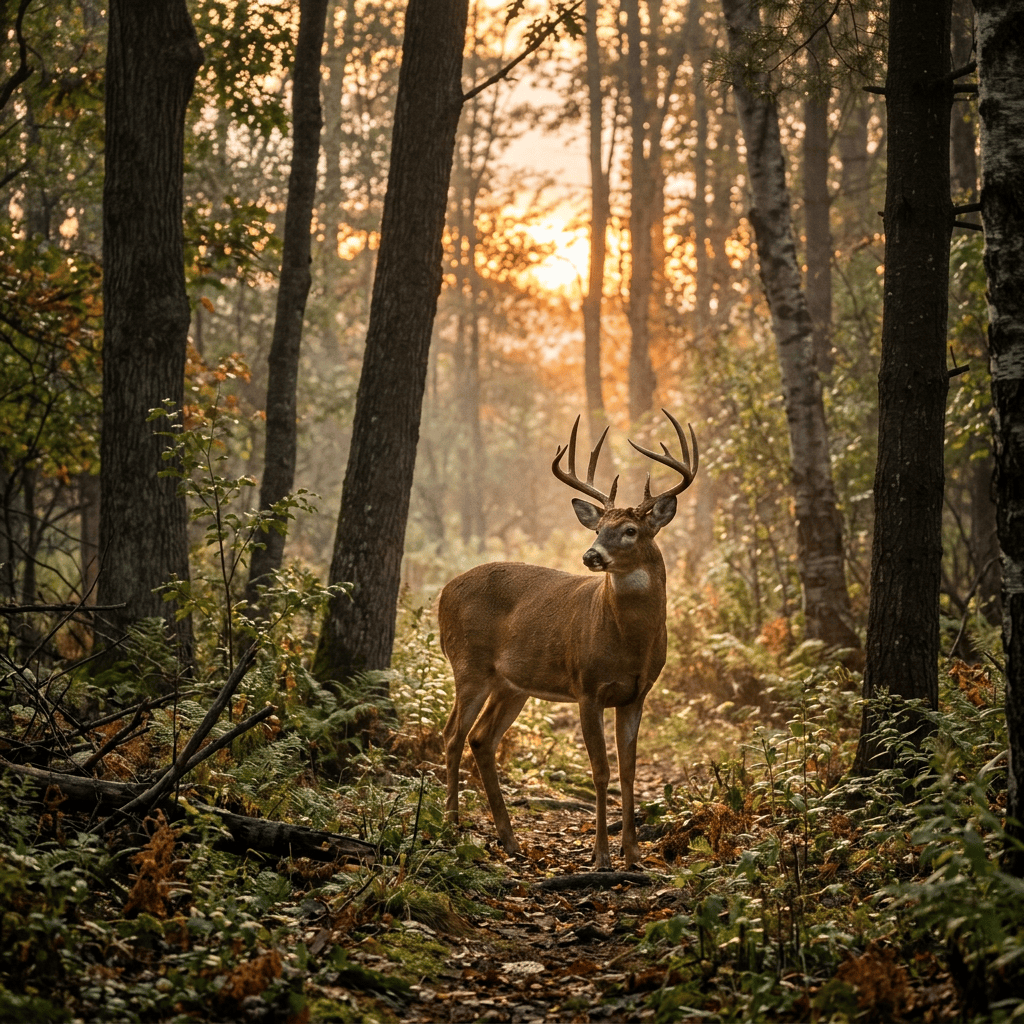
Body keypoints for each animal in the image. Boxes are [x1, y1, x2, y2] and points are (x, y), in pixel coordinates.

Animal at [439, 409, 698, 870]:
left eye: (630, 530)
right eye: (598, 527)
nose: (591, 555)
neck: (629, 643)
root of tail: (441, 594)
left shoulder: (637, 694)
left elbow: (628, 770)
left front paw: (633, 853)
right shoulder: (587, 687)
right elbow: (600, 770)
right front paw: (601, 855)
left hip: (512, 684)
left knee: (481, 738)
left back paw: (509, 840)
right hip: (469, 664)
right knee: (452, 735)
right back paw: (452, 825)